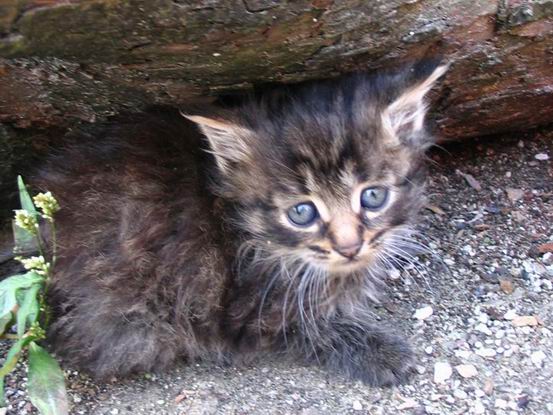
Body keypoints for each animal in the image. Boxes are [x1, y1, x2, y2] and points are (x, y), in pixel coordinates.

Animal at [33, 60, 447, 387]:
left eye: (373, 196)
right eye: (302, 213)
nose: (349, 247)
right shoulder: (244, 310)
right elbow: (312, 326)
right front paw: (381, 352)